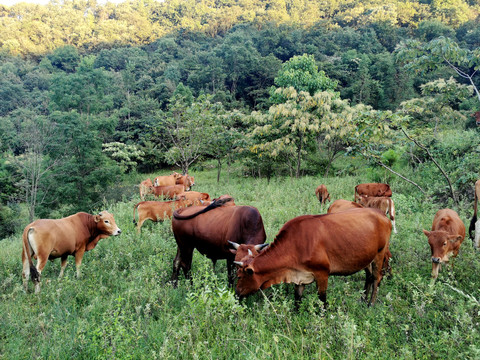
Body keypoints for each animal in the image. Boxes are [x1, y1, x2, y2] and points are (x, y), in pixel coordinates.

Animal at [234, 208, 392, 306]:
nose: (235, 294)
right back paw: (362, 299)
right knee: (369, 277)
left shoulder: (322, 273)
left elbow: (322, 300)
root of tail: (382, 214)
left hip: (380, 253)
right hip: (367, 258)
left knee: (376, 278)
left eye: (240, 276)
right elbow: (297, 299)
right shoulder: (299, 275)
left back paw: (370, 303)